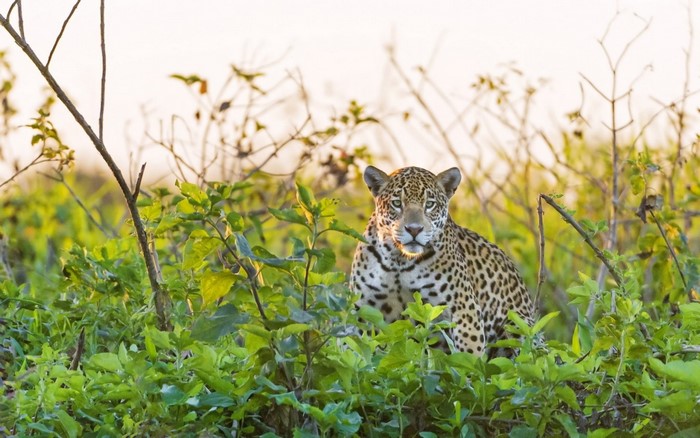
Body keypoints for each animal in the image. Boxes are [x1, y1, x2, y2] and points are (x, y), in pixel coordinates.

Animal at [351, 165, 535, 357]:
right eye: (397, 203)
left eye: (430, 204)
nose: (414, 229)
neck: (400, 261)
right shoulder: (362, 309)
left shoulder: (464, 309)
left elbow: (469, 356)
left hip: (518, 325)